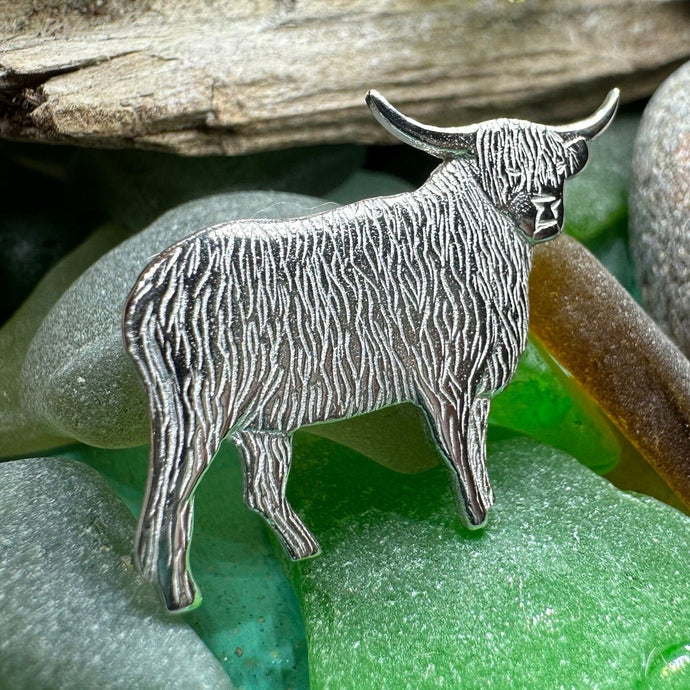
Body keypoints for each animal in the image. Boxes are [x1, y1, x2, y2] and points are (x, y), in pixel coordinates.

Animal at [123, 88, 619, 611]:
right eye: (499, 169)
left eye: (557, 167)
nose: (545, 212)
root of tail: (155, 285)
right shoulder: (445, 386)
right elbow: (460, 457)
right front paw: (477, 518)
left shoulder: (478, 391)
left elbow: (478, 455)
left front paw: (488, 505)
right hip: (201, 414)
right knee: (176, 498)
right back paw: (181, 597)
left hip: (259, 424)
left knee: (258, 492)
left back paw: (305, 551)